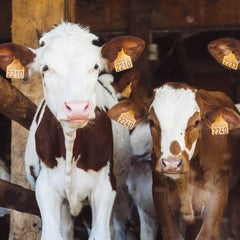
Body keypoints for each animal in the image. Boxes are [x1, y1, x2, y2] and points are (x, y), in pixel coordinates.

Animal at [0, 21, 144, 239]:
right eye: (45, 67)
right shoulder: (45, 187)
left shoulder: (105, 186)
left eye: (95, 66)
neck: (70, 143)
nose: (77, 107)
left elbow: (100, 233)